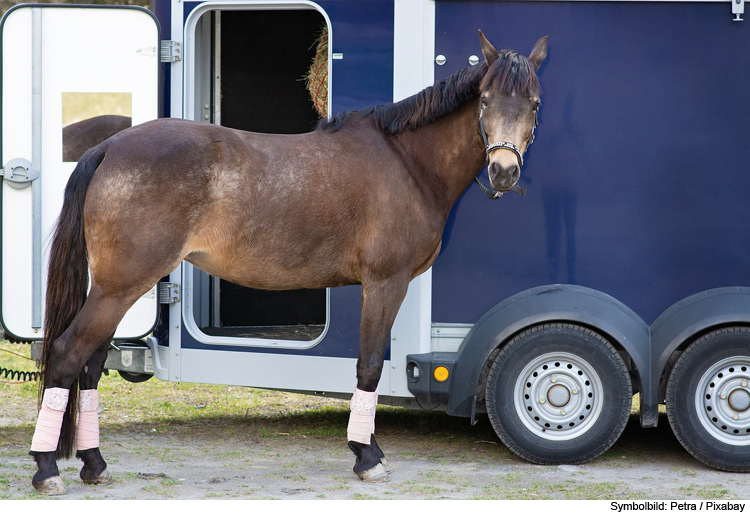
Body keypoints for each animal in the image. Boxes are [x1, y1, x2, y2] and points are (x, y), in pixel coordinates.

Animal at [30, 32, 548, 496]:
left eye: (534, 104)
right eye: (484, 100)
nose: (504, 171)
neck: (406, 162)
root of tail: (109, 148)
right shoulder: (385, 284)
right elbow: (369, 367)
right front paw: (368, 457)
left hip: (116, 290)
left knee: (91, 365)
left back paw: (94, 464)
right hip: (120, 286)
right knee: (67, 354)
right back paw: (46, 469)